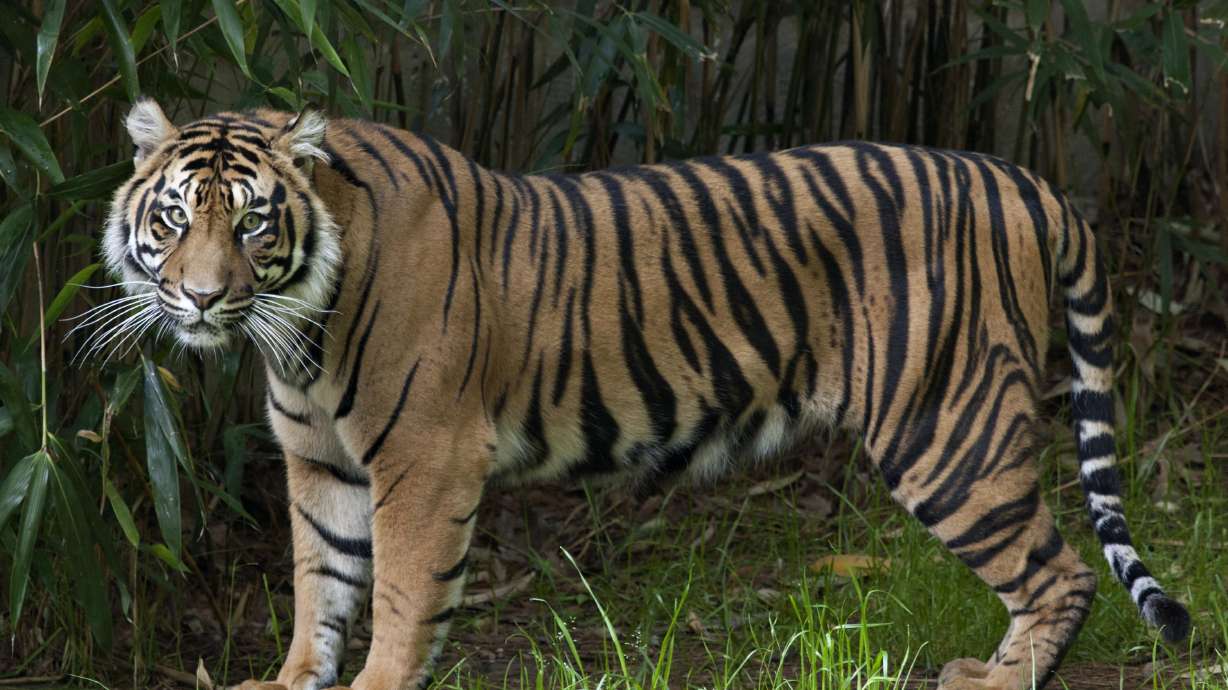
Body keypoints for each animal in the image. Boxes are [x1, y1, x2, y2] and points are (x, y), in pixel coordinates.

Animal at [94, 98, 1190, 690]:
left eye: (254, 223)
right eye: (177, 216)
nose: (203, 296)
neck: (297, 332)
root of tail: (1021, 176)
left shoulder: (424, 461)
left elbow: (400, 594)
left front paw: (381, 679)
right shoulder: (320, 462)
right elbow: (319, 585)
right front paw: (293, 679)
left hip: (946, 428)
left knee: (1061, 573)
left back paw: (1000, 678)